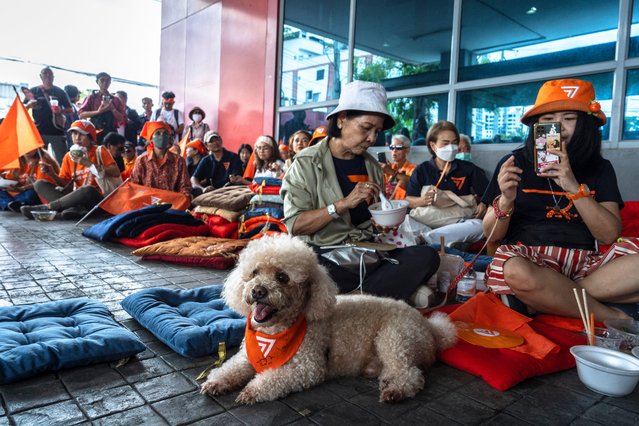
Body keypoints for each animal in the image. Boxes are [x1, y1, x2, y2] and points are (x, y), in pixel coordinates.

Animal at [202, 235, 458, 404]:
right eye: (254, 273)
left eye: (283, 277)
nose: (257, 291)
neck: (275, 332)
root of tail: (430, 326)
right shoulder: (247, 356)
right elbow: (229, 367)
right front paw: (217, 382)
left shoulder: (308, 368)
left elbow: (274, 379)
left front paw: (252, 391)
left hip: (395, 336)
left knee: (410, 374)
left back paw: (396, 390)